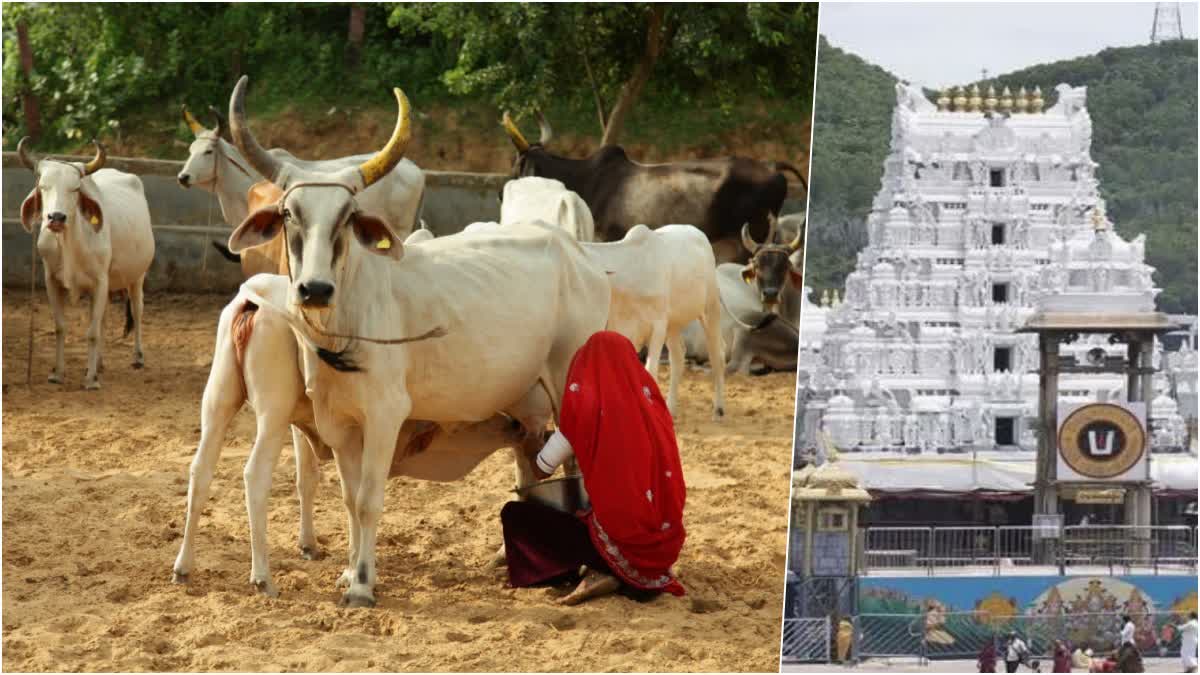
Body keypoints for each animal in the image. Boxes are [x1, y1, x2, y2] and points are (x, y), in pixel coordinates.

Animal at [17, 138, 154, 389]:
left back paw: (137, 358)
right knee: (104, 319)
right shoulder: (52, 281)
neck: (71, 245)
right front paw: (58, 373)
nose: (56, 218)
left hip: (137, 276)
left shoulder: (100, 282)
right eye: (43, 186)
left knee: (137, 311)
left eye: (75, 189)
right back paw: (98, 363)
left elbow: (91, 333)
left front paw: (90, 380)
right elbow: (61, 327)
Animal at [218, 76, 609, 607]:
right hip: (526, 401)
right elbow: (349, 498)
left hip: (570, 380)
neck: (347, 322)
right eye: (289, 213)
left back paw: (595, 571)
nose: (314, 289)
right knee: (530, 465)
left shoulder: (385, 416)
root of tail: (578, 255)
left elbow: (369, 500)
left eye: (347, 215)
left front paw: (363, 584)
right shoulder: (339, 425)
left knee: (584, 469)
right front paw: (349, 572)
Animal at [496, 111, 806, 261]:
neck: (584, 178)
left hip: (751, 240)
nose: (500, 194)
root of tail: (771, 166)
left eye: (516, 167)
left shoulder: (604, 239)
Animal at [578, 223, 720, 417]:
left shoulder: (658, 328)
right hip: (673, 325)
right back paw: (671, 408)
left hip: (710, 309)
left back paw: (719, 410)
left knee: (717, 354)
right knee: (678, 356)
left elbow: (650, 371)